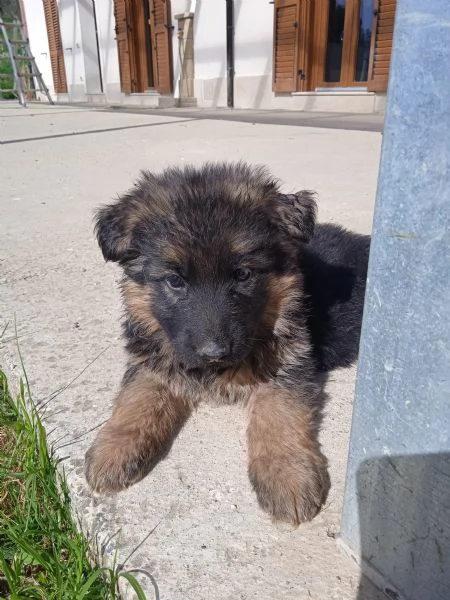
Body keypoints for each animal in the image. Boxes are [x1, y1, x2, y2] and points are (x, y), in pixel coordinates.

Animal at [84, 163, 370, 524]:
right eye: (175, 280)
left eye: (243, 274)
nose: (214, 354)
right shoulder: (153, 356)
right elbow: (137, 397)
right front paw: (114, 447)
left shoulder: (290, 359)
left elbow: (279, 413)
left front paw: (287, 474)